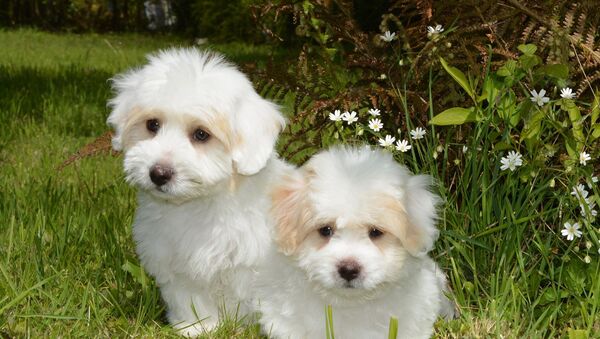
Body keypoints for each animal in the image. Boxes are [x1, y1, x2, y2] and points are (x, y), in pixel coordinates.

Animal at [108, 48, 296, 338]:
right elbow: (189, 299)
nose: (158, 173)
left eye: (201, 134)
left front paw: (243, 329)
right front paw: (196, 328)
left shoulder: (252, 265)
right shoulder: (176, 264)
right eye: (152, 125)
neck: (200, 202)